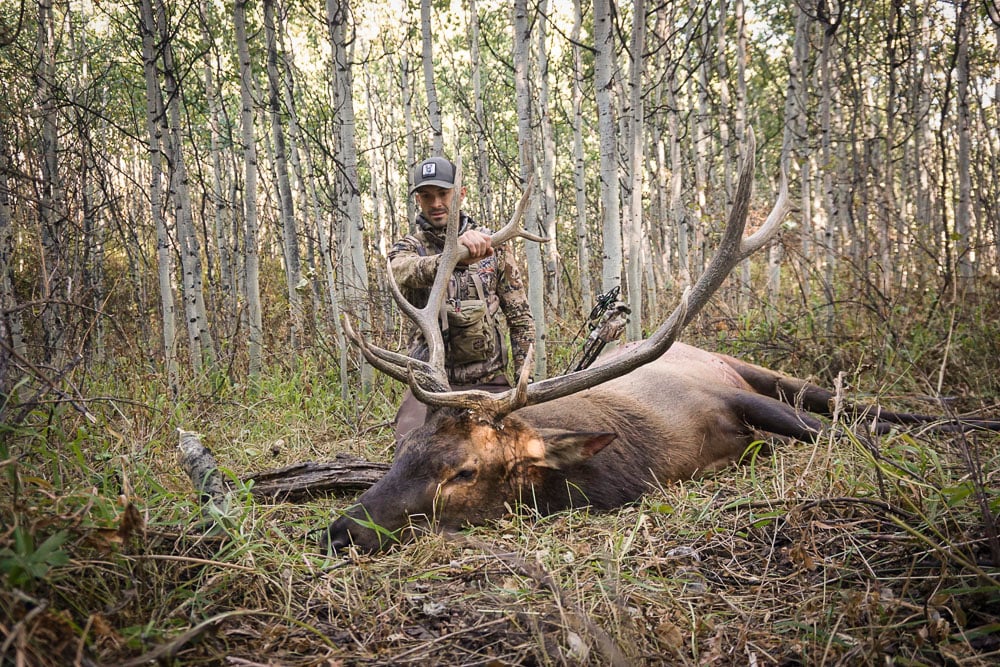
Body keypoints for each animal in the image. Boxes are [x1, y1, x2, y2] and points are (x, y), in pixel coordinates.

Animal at [322, 130, 1000, 554]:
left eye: (462, 472)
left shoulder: (728, 398)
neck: (655, 456)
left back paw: (961, 419)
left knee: (857, 407)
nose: (340, 532)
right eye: (403, 451)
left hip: (755, 369)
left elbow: (839, 434)